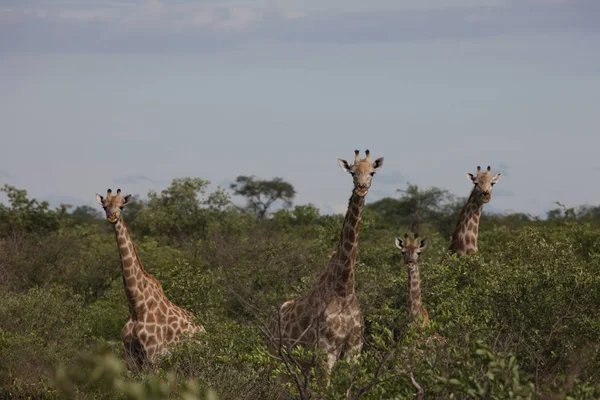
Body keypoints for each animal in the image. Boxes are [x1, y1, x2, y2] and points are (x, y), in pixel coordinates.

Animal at [95, 189, 205, 370]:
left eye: (121, 207)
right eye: (105, 206)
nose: (112, 218)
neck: (136, 306)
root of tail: (204, 329)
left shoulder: (153, 355)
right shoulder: (131, 357)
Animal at [276, 149, 384, 378]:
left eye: (372, 172)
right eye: (352, 172)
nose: (361, 188)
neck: (343, 290)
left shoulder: (353, 353)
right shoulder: (326, 354)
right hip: (279, 357)